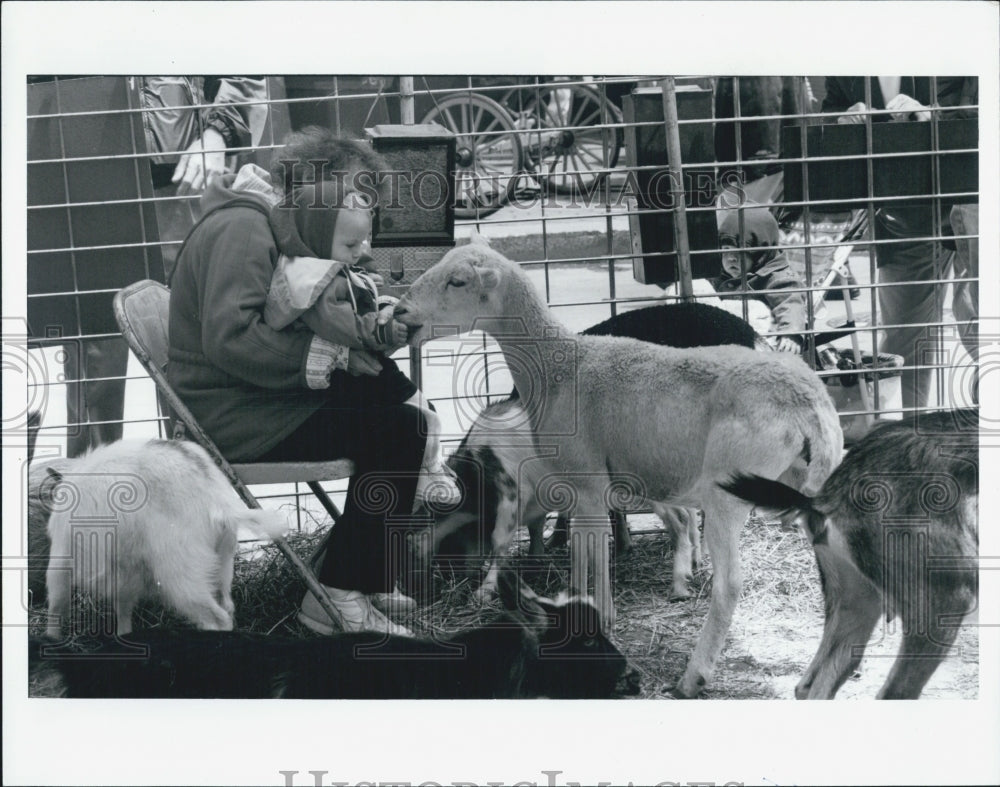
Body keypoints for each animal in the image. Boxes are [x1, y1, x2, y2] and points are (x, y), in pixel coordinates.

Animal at [36, 440, 286, 636]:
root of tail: (216, 499)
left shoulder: (62, 559)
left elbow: (56, 605)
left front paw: (51, 639)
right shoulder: (125, 574)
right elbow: (123, 609)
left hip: (181, 571)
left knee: (217, 619)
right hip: (222, 563)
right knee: (227, 607)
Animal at [392, 243, 844, 700]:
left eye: (458, 281)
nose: (399, 311)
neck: (559, 366)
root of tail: (811, 407)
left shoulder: (591, 484)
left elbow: (595, 551)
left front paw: (603, 617)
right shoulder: (576, 487)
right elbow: (580, 550)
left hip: (728, 494)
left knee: (730, 583)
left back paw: (693, 677)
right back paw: (813, 680)